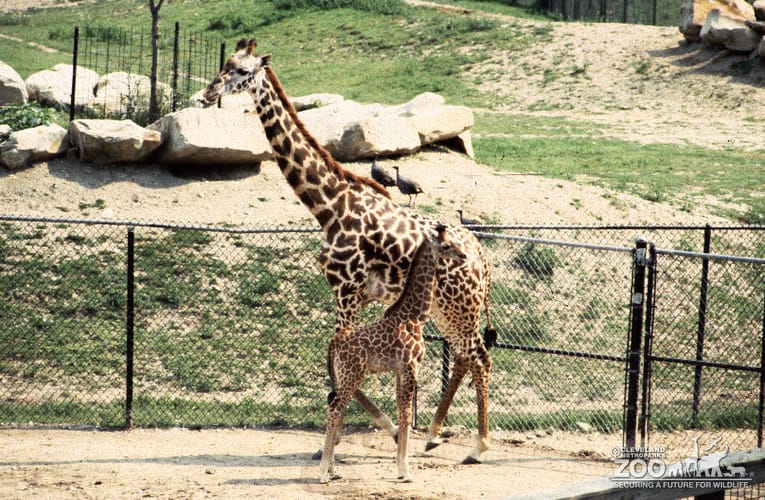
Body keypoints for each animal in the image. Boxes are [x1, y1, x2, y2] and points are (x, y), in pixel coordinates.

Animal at [319, 224, 466, 483]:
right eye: (447, 245)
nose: (464, 256)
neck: (415, 317)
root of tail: (334, 342)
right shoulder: (410, 366)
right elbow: (406, 415)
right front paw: (405, 471)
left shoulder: (400, 370)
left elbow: (401, 411)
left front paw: (401, 468)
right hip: (352, 373)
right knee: (335, 406)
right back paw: (323, 472)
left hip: (343, 375)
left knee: (336, 404)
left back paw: (333, 470)